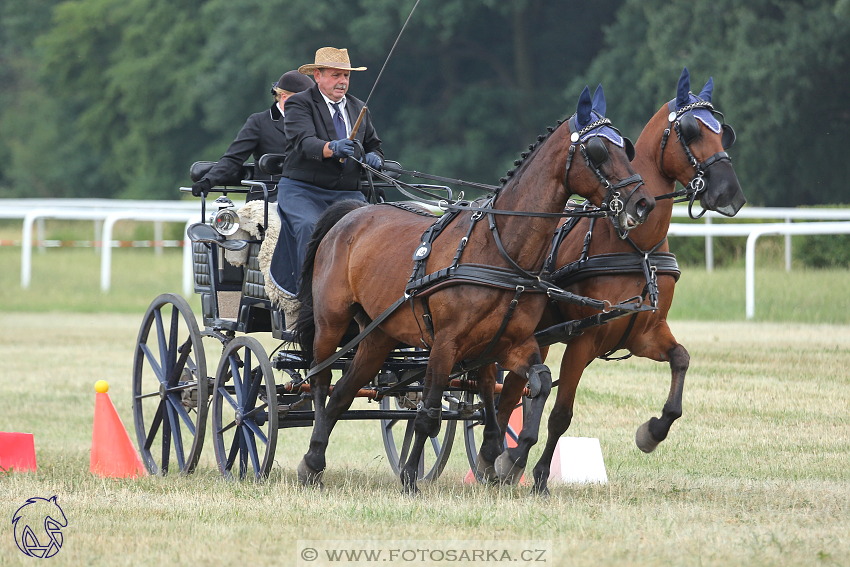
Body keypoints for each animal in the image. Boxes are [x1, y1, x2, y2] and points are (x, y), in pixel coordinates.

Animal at [294, 84, 652, 492]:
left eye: (626, 147)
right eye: (598, 150)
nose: (642, 203)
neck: (498, 247)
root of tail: (352, 212)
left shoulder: (510, 343)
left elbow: (536, 385)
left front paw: (508, 461)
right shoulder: (445, 343)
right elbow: (430, 412)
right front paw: (411, 477)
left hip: (379, 334)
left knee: (343, 392)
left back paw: (315, 460)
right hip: (332, 321)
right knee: (320, 379)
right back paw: (311, 457)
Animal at [494, 67, 744, 496]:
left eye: (722, 132)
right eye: (691, 130)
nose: (730, 194)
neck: (634, 246)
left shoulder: (644, 333)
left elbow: (681, 360)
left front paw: (652, 432)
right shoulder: (583, 339)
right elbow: (561, 414)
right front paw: (540, 476)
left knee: (510, 390)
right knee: (508, 391)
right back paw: (504, 458)